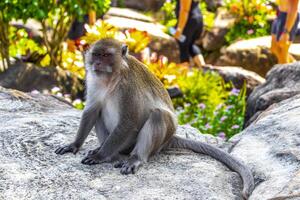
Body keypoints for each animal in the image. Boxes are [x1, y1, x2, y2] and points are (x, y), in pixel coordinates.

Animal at [55, 38, 254, 198]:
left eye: (106, 55)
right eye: (96, 54)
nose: (96, 63)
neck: (111, 78)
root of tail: (169, 139)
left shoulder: (128, 88)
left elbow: (129, 121)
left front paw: (101, 155)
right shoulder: (94, 80)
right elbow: (91, 110)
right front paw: (74, 145)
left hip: (146, 142)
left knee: (158, 115)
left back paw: (132, 157)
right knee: (100, 112)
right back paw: (110, 151)